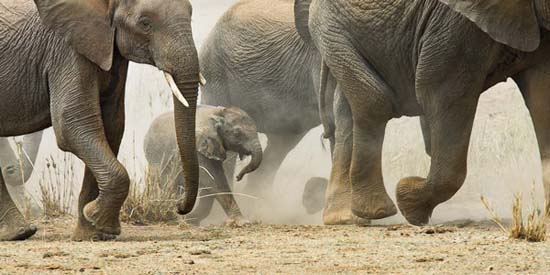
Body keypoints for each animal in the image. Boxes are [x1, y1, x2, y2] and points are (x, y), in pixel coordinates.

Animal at [0, 0, 203, 242]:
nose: (179, 207)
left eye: (191, 15)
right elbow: (73, 124)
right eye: (145, 23)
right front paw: (97, 221)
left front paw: (91, 232)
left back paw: (19, 233)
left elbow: (112, 126)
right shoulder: (66, 50)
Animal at [298, 0, 550, 225]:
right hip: (333, 32)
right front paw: (410, 205)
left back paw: (348, 216)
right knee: (374, 101)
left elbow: (541, 99)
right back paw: (373, 212)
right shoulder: (454, 26)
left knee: (348, 112)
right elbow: (441, 90)